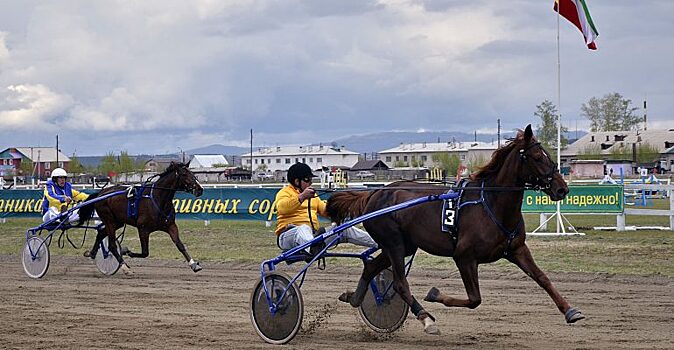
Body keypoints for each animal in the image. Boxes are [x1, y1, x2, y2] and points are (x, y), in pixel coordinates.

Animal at [326, 125, 584, 334]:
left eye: (548, 154)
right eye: (537, 157)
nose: (562, 189)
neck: (491, 204)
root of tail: (374, 193)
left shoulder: (517, 249)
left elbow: (543, 278)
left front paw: (570, 311)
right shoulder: (464, 257)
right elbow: (474, 299)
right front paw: (434, 294)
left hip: (402, 245)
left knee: (370, 267)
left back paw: (354, 298)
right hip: (394, 243)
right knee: (400, 284)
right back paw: (425, 319)